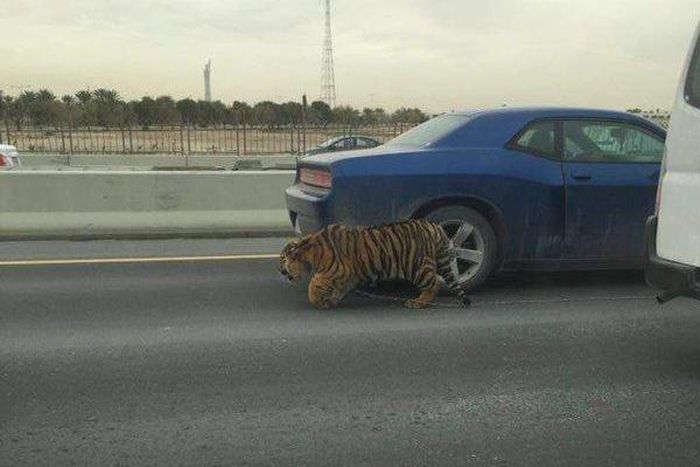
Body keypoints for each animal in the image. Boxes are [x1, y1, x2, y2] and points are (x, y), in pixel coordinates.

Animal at [279, 219, 469, 309]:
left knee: (434, 284)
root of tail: (434, 226)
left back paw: (418, 303)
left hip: (417, 266)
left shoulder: (336, 272)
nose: (280, 271)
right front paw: (330, 301)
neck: (311, 254)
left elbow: (313, 284)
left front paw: (317, 302)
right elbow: (338, 290)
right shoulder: (347, 277)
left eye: (282, 260)